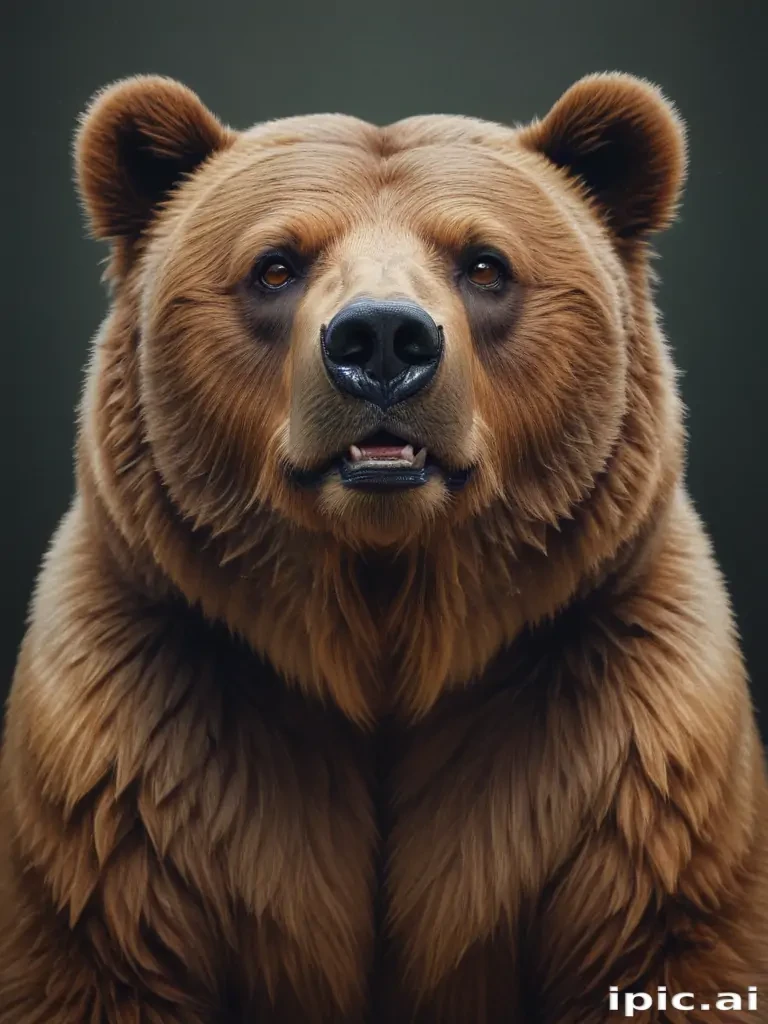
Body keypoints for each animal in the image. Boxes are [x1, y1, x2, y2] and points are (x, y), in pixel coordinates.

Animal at [1, 70, 767, 1024]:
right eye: (275, 264)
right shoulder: (137, 774)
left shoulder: (621, 767)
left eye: (484, 264)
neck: (383, 625)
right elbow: (102, 952)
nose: (381, 342)